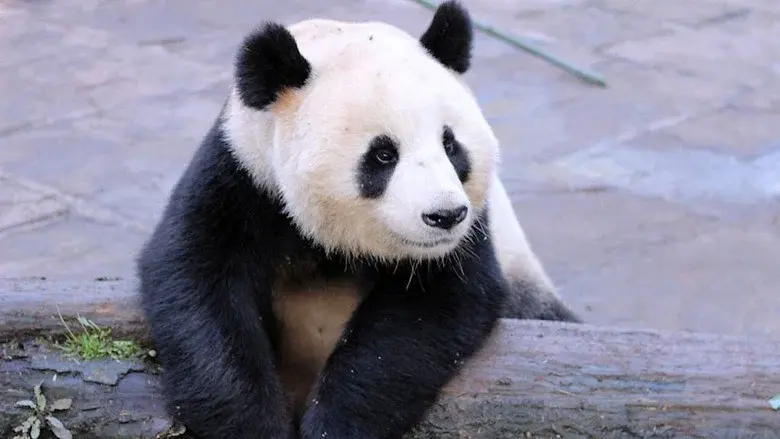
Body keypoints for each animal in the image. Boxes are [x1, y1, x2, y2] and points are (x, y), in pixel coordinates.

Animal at [136, 2, 580, 438]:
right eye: (383, 154)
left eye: (451, 145)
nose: (445, 216)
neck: (337, 244)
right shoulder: (243, 179)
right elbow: (198, 286)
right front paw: (255, 426)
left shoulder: (469, 238)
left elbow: (424, 316)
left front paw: (334, 425)